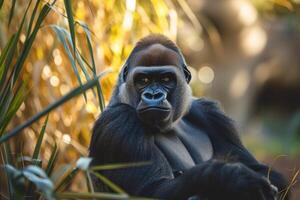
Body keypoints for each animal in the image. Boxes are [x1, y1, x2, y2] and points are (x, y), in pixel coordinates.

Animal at [88, 34, 288, 200]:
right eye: (143, 80)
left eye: (166, 79)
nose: (153, 95)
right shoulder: (119, 121)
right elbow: (151, 191)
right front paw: (230, 176)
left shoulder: (211, 113)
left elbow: (267, 172)